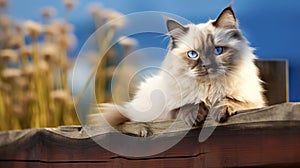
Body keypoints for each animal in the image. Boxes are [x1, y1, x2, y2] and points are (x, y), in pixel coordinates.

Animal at [90, 5, 266, 136]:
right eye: (193, 54)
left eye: (218, 51)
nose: (207, 65)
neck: (208, 89)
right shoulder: (168, 112)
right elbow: (185, 106)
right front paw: (195, 116)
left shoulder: (254, 103)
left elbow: (231, 101)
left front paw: (218, 111)